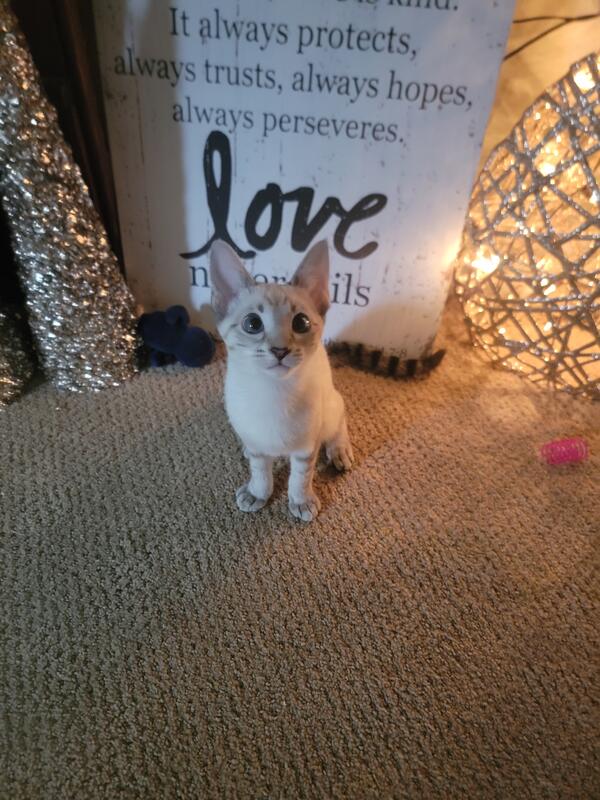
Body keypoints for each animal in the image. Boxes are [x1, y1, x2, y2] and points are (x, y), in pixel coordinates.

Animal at [209, 239, 353, 522]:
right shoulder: (258, 447)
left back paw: (339, 451)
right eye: (252, 323)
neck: (272, 392)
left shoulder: (306, 448)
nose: (279, 350)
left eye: (301, 323)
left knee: (338, 424)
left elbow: (300, 478)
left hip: (331, 407)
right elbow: (260, 472)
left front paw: (301, 501)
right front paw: (258, 493)